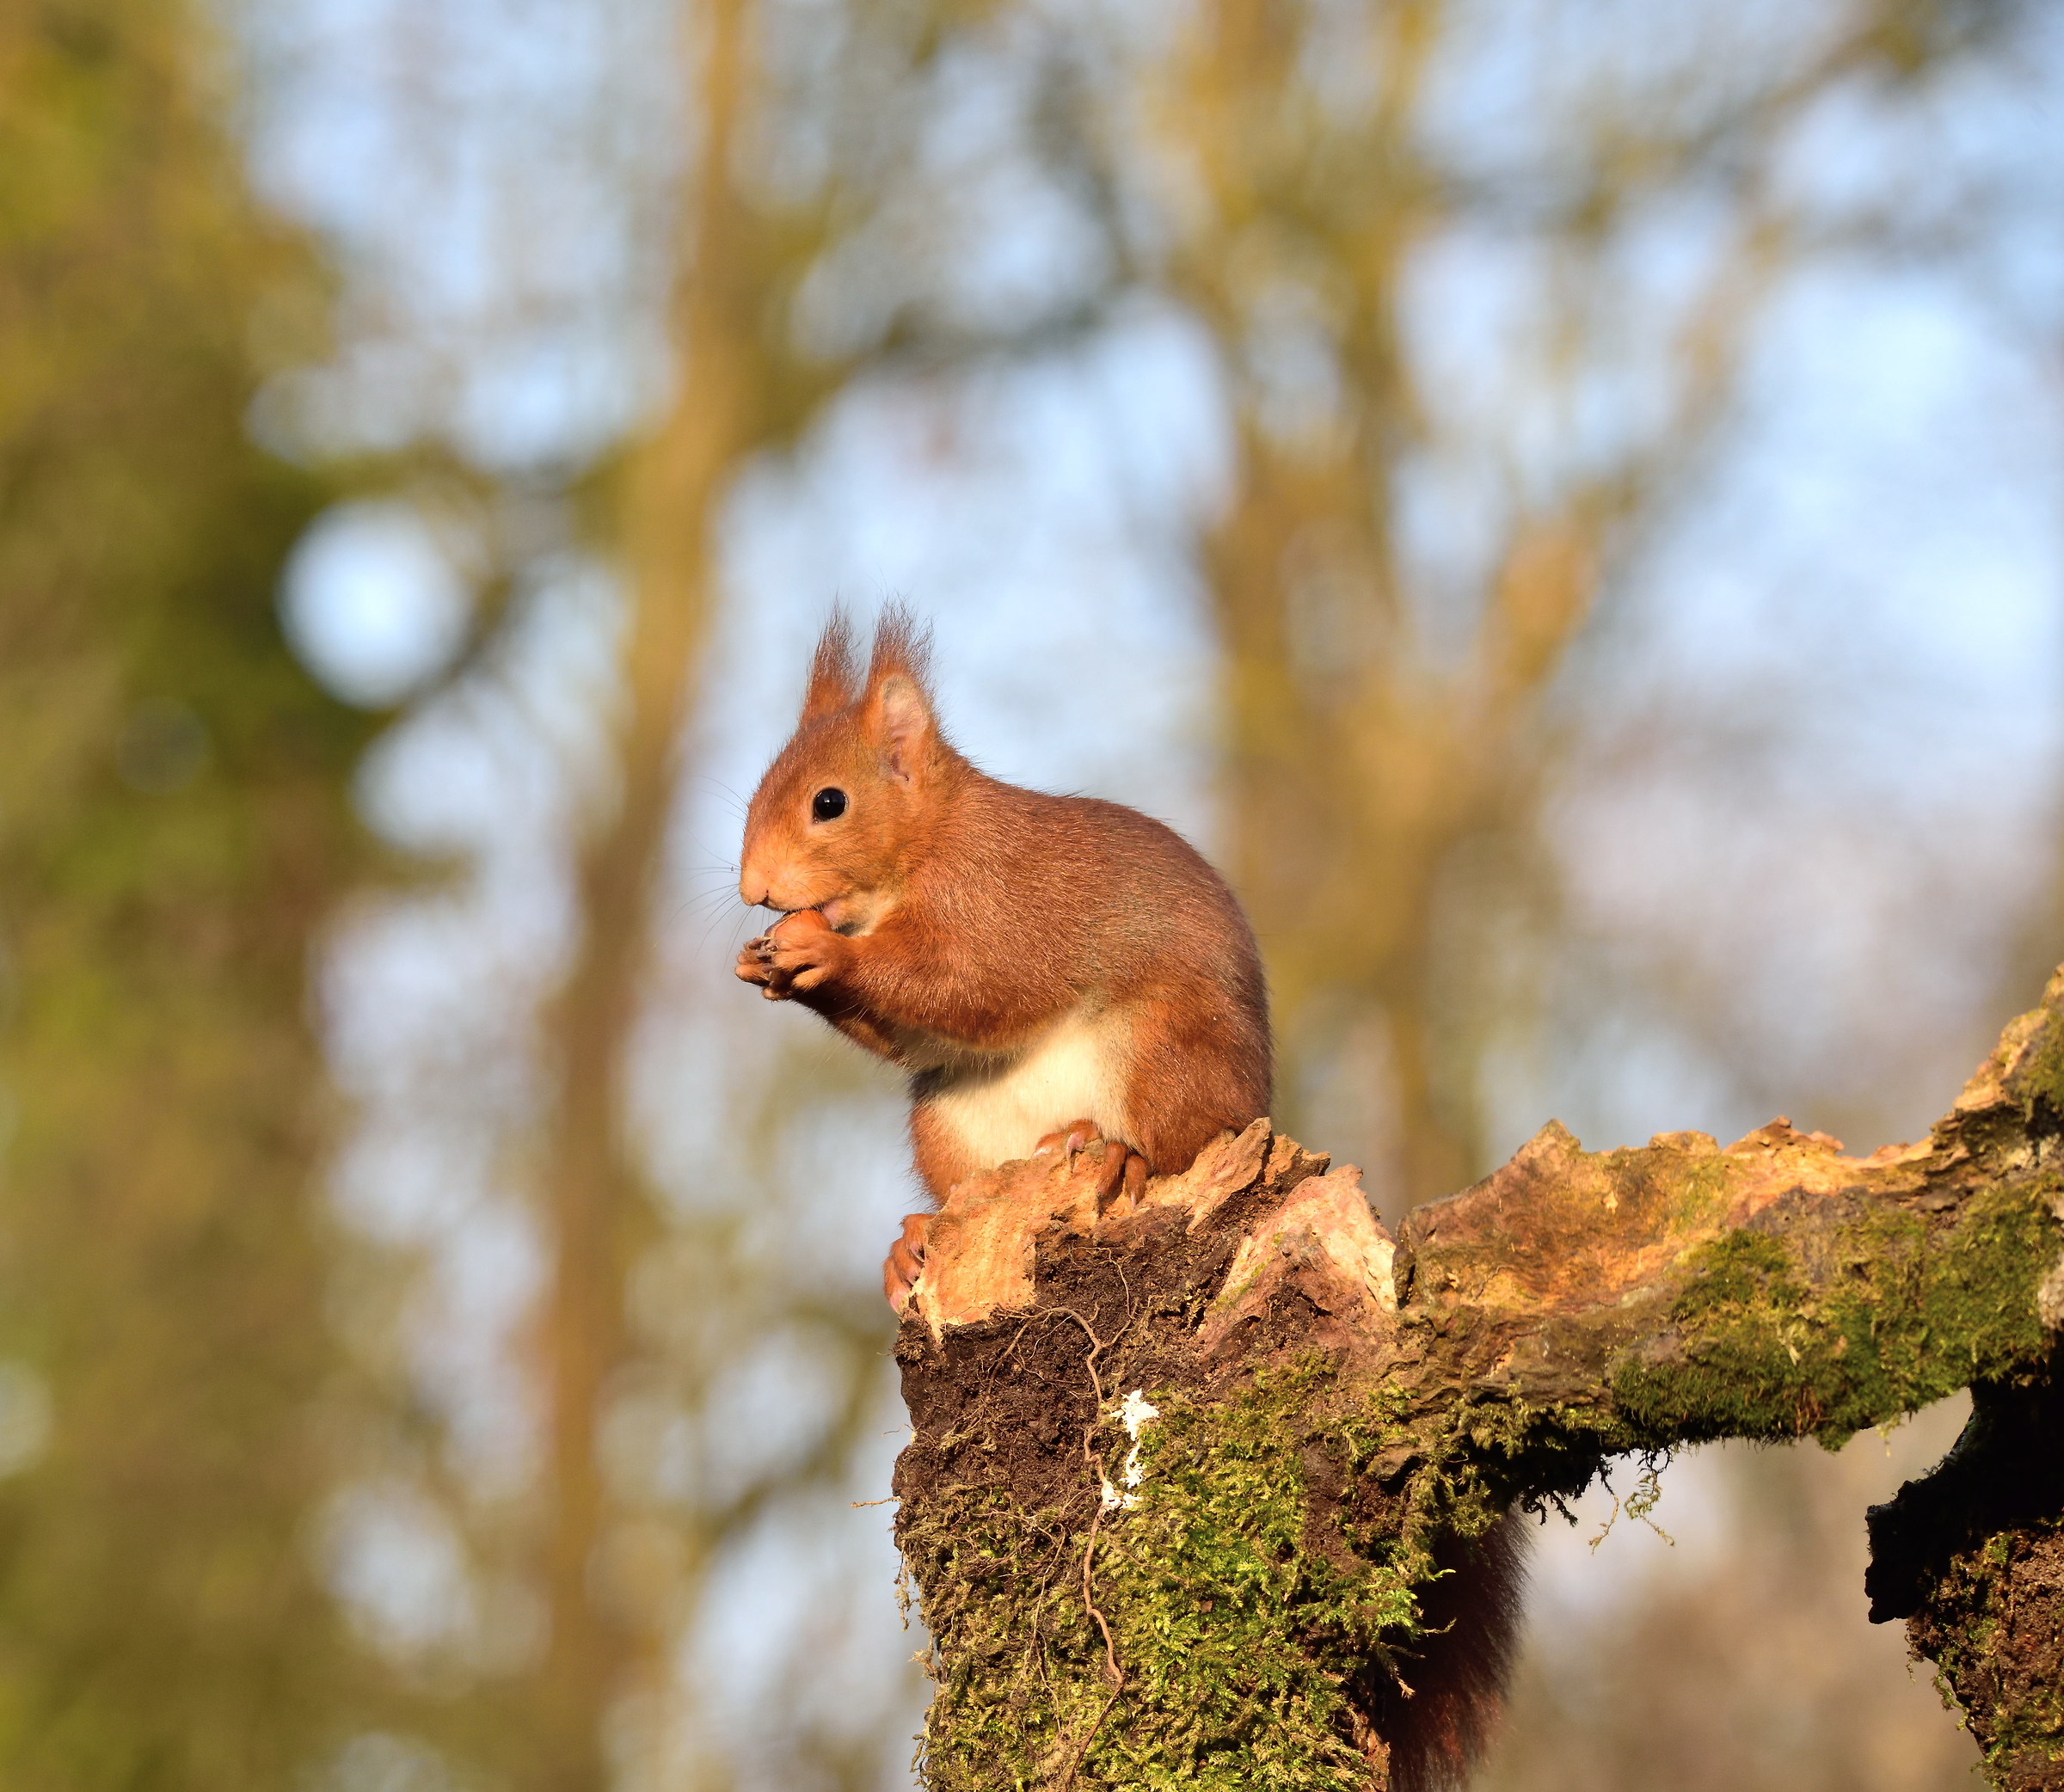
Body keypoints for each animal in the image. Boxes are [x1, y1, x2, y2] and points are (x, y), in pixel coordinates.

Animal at [733, 607, 1520, 1792]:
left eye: (829, 801)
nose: (753, 889)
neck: (925, 851)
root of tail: (1254, 1105)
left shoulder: (996, 907)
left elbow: (962, 981)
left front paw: (818, 947)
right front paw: (772, 963)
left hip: (1164, 1054)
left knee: (1171, 1136)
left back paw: (1112, 1157)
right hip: (945, 1119)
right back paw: (912, 1240)